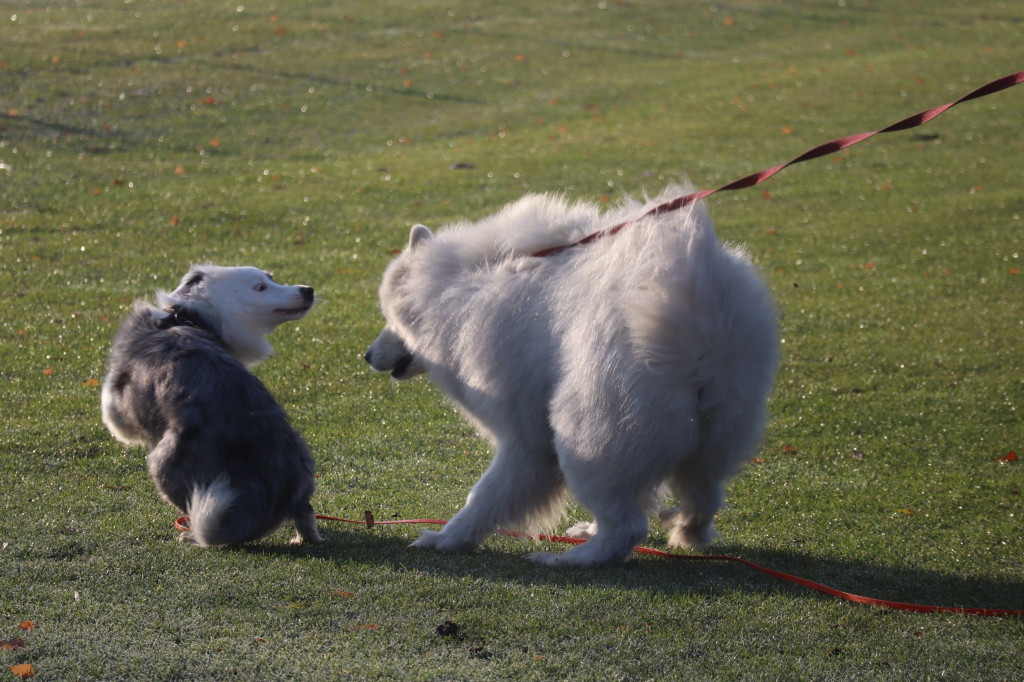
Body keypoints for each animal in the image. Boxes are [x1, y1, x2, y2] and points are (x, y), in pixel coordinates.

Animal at [100, 262, 321, 544]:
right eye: (261, 285)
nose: (308, 290)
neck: (184, 317)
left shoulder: (117, 409)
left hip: (166, 465)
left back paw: (192, 536)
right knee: (305, 514)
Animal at [368, 188, 774, 565]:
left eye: (389, 318)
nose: (367, 355)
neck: (455, 288)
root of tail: (700, 330)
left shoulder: (526, 440)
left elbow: (484, 496)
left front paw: (446, 539)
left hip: (585, 438)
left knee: (626, 526)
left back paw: (568, 559)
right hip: (710, 439)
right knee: (702, 499)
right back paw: (682, 530)